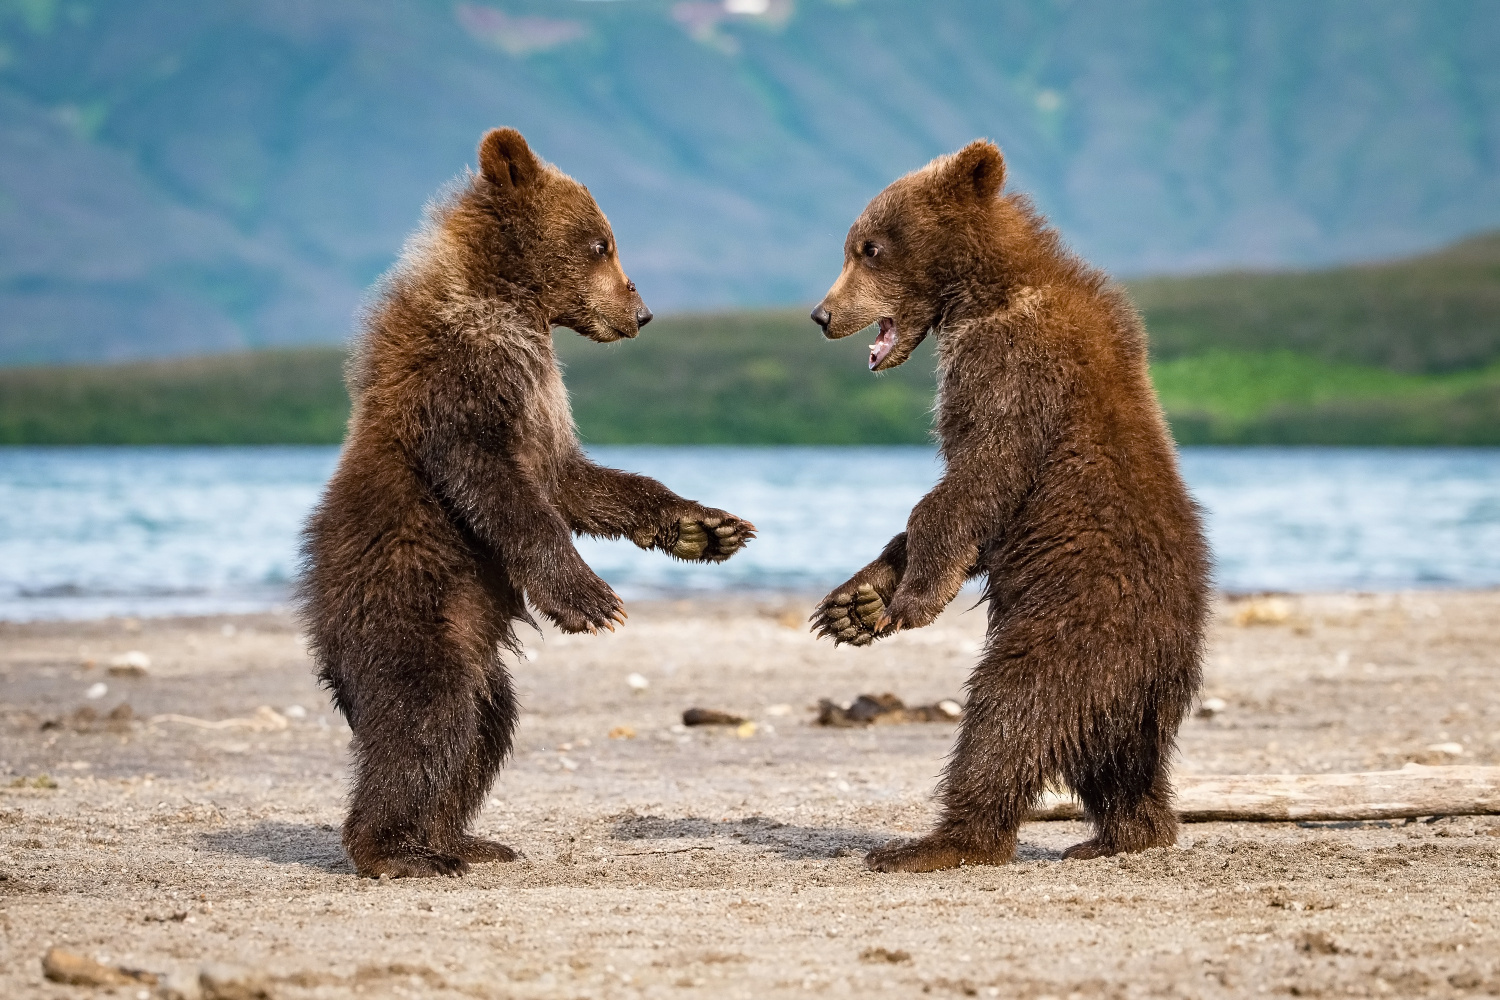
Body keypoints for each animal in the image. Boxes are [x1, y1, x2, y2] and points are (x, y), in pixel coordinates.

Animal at [300, 131, 756, 875]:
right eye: (601, 243)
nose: (640, 312)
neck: (509, 303)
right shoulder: (462, 381)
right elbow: (501, 490)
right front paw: (591, 600)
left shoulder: (540, 400)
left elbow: (575, 480)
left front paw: (705, 528)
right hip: (407, 605)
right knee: (424, 718)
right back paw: (395, 850)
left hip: (470, 647)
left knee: (484, 726)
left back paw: (462, 837)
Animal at [810, 137, 1206, 869]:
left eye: (868, 248)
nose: (822, 315)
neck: (984, 291)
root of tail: (1167, 656)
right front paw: (854, 604)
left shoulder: (1014, 370)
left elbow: (973, 482)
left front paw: (909, 602)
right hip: (1131, 697)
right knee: (1122, 764)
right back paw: (1124, 833)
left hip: (1072, 628)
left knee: (1008, 715)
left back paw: (939, 843)